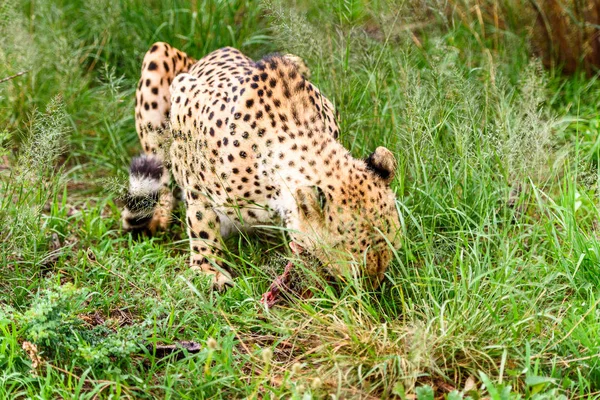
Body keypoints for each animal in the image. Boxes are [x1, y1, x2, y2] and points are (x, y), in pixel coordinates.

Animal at [122, 42, 400, 294]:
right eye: (355, 267)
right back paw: (159, 214)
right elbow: (200, 217)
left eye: (393, 250)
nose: (373, 290)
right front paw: (207, 268)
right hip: (158, 55)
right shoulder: (185, 96)